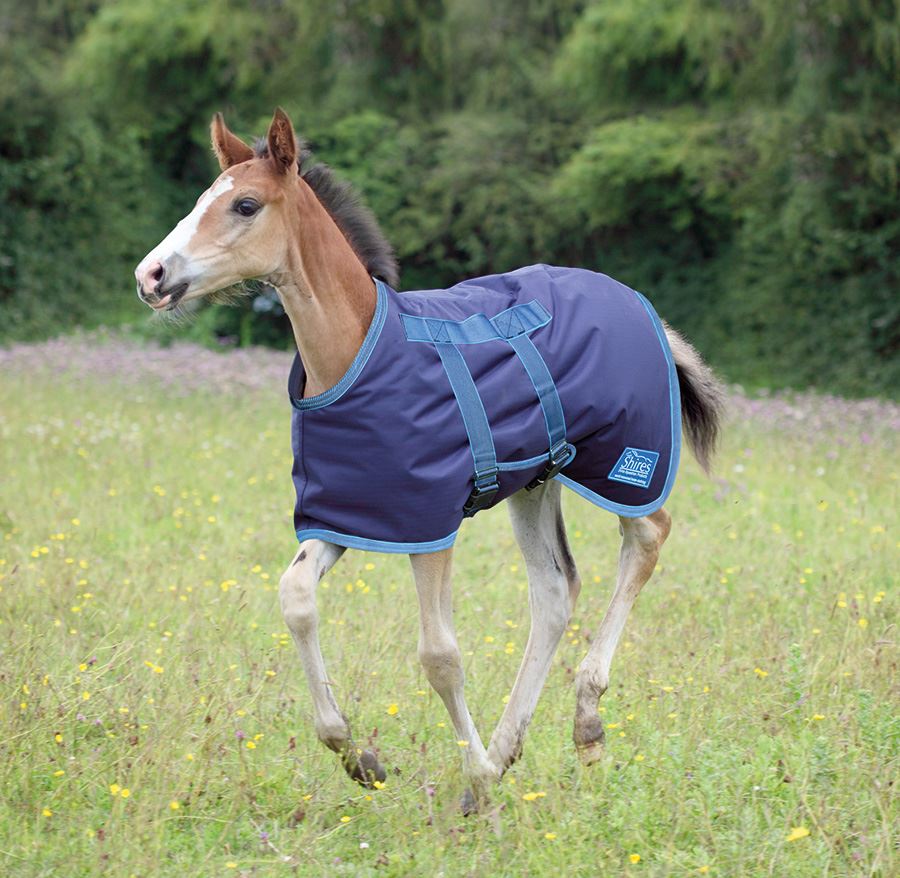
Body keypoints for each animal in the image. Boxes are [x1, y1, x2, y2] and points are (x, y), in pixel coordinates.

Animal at [134, 108, 724, 810]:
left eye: (244, 205)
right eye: (203, 198)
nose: (151, 276)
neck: (356, 354)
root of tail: (640, 306)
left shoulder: (430, 523)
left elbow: (439, 655)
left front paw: (474, 780)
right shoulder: (352, 513)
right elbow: (296, 596)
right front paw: (360, 757)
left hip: (625, 461)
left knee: (649, 535)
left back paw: (583, 723)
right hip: (537, 479)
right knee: (555, 589)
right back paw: (509, 748)